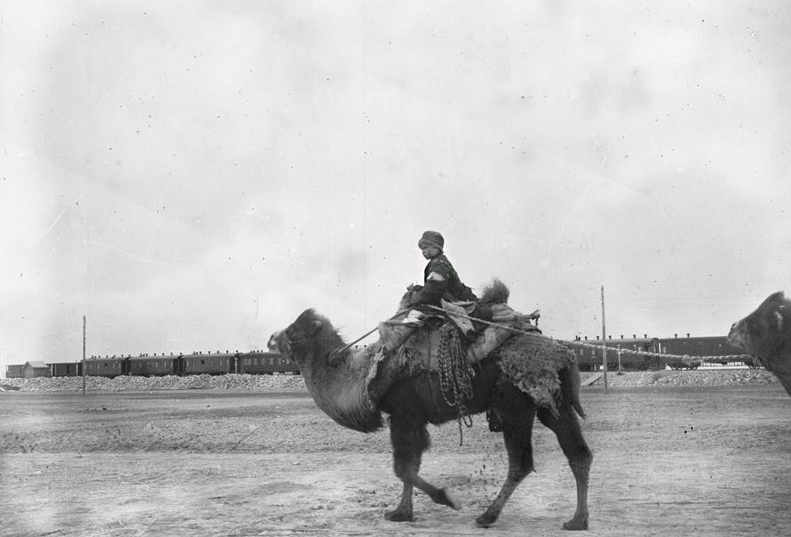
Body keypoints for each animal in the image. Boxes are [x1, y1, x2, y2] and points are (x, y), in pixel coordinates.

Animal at [270, 300, 592, 528]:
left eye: (295, 329)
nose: (271, 337)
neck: (362, 376)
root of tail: (564, 354)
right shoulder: (412, 418)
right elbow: (411, 464)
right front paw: (401, 512)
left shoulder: (403, 413)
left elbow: (403, 468)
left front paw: (447, 499)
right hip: (554, 404)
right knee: (578, 453)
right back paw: (577, 520)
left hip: (515, 406)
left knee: (522, 462)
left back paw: (487, 516)